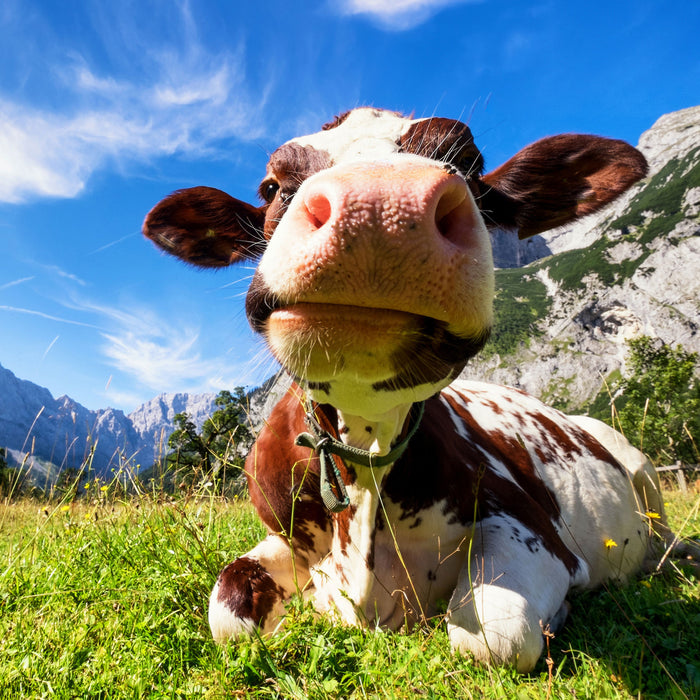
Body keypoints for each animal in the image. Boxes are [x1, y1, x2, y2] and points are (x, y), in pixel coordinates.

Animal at [142, 108, 680, 672]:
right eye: (271, 187)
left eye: (471, 163)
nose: (379, 205)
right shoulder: (283, 536)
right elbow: (228, 609)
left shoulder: (534, 526)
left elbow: (494, 635)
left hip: (642, 471)